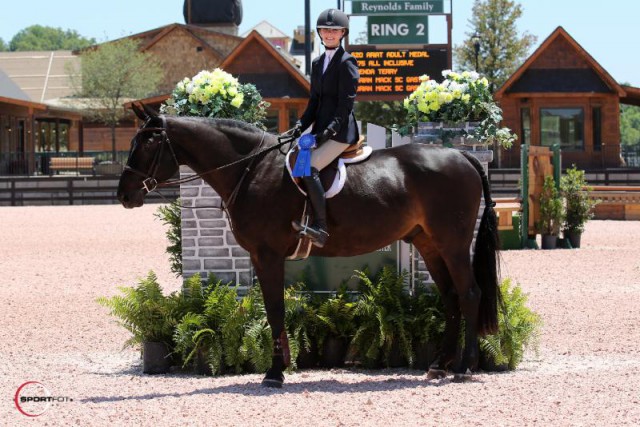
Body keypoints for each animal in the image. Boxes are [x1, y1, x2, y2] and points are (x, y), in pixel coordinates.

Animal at [119, 104, 500, 388]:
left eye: (148, 144)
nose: (124, 195)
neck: (250, 169)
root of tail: (461, 157)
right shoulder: (263, 256)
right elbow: (273, 309)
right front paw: (282, 366)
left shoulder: (267, 255)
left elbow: (274, 309)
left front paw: (275, 373)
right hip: (429, 243)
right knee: (450, 297)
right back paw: (438, 365)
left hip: (453, 243)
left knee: (469, 294)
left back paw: (463, 368)